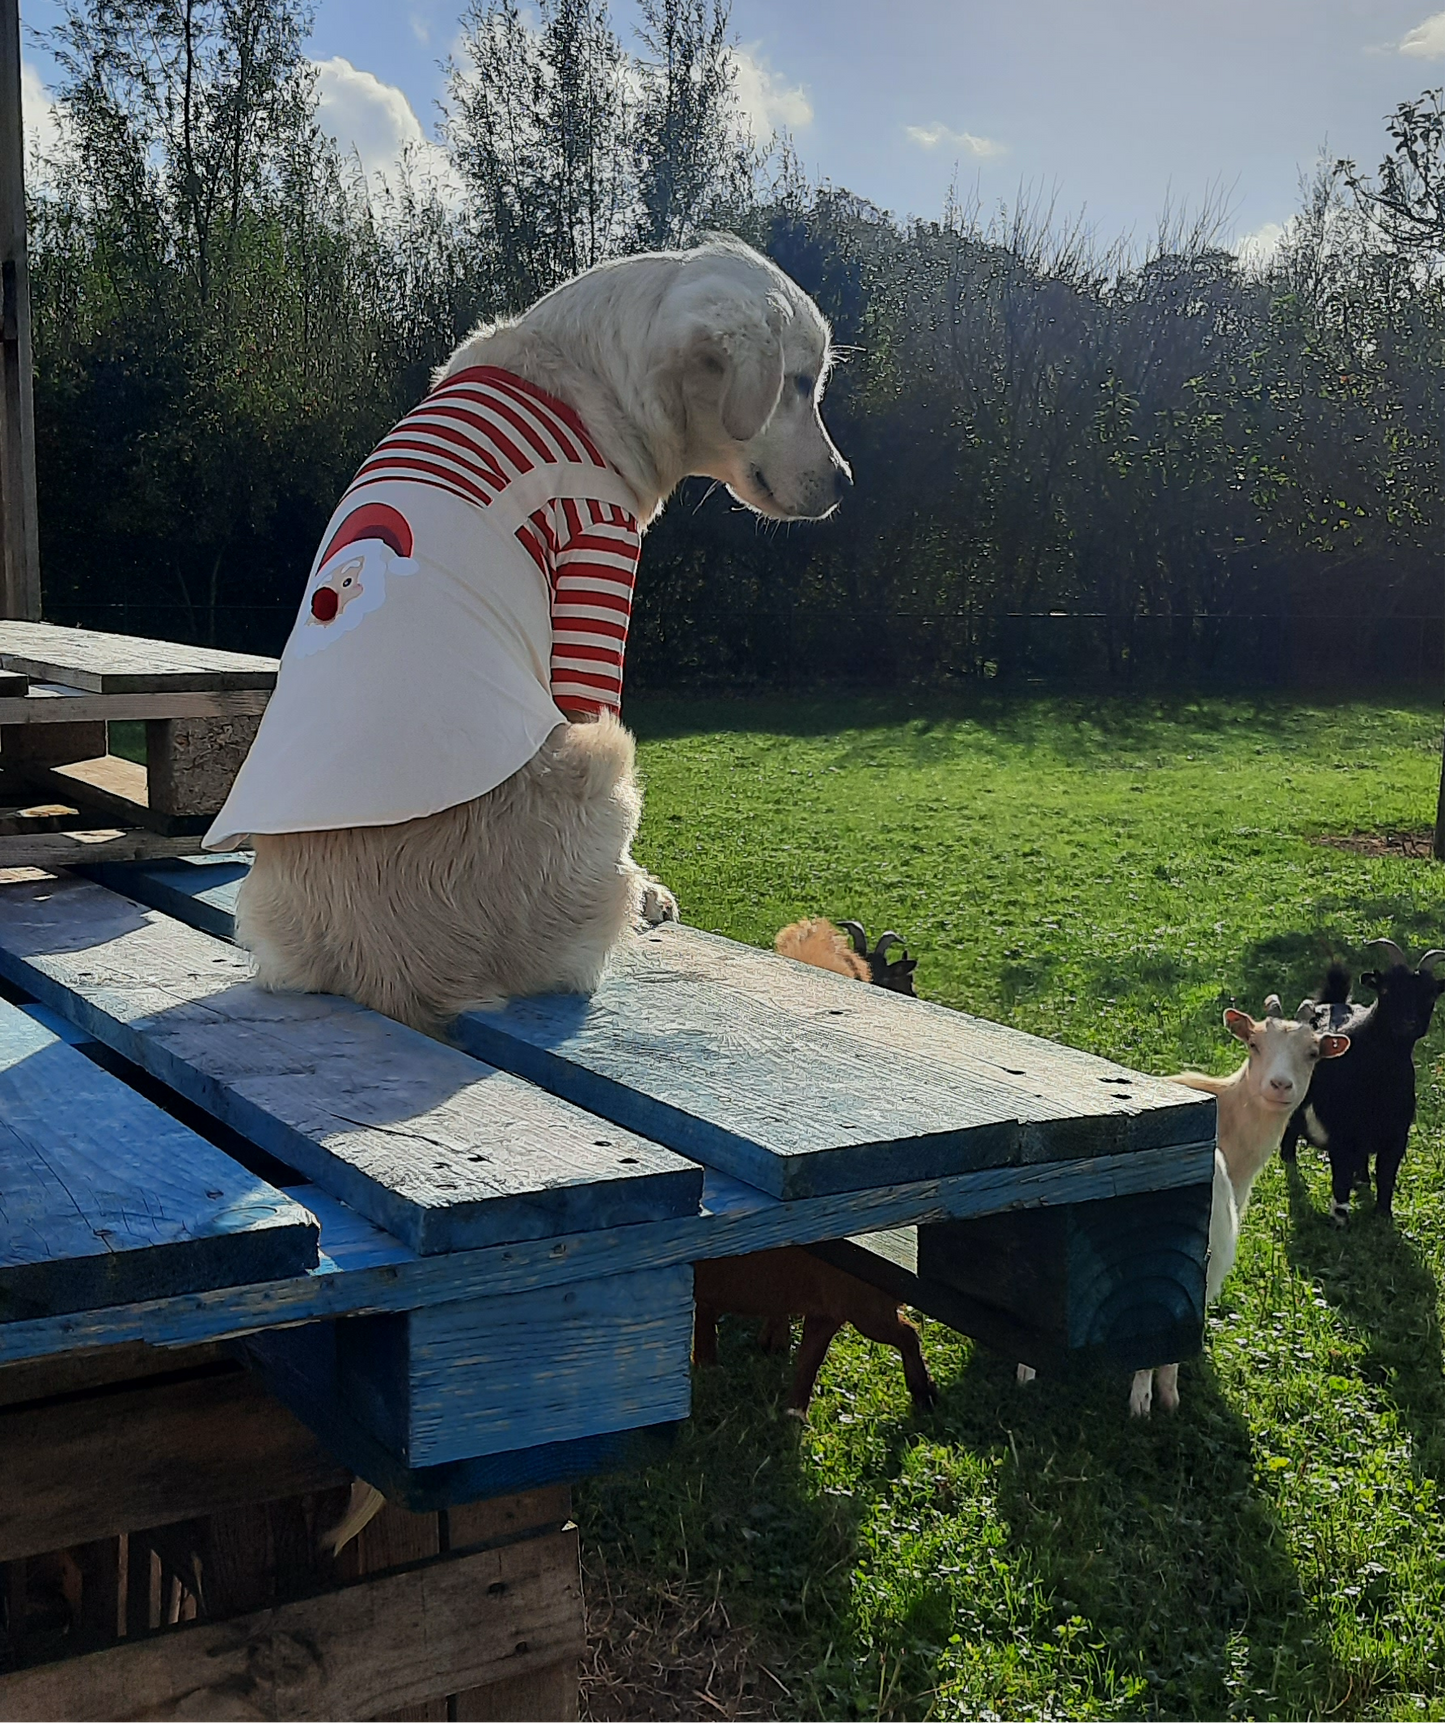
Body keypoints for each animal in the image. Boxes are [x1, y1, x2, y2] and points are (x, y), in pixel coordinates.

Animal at [209, 236, 854, 1026]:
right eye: (798, 382)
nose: (848, 481)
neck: (585, 378)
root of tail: (396, 980)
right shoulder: (597, 562)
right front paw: (649, 890)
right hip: (607, 758)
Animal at [699, 1254, 943, 1412]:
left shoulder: (835, 1307)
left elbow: (810, 1360)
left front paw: (794, 1416)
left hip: (864, 1309)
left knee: (909, 1334)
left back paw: (925, 1397)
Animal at [1281, 944, 1439, 1226]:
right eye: (1385, 990)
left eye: (1430, 994)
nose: (1409, 1022)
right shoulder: (1341, 1135)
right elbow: (1340, 1179)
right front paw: (1340, 1221)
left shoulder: (1396, 1136)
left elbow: (1386, 1176)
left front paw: (1383, 1216)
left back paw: (1362, 1180)